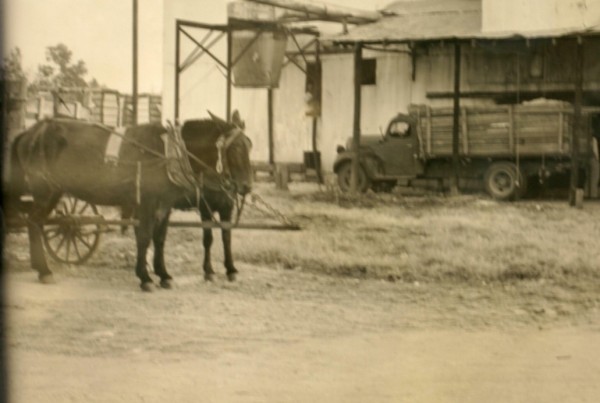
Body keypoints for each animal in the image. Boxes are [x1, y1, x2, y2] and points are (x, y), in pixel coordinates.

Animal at [8, 113, 253, 290]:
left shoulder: (165, 205)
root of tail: (30, 132)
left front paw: (163, 274)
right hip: (45, 190)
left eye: (249, 145)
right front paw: (145, 277)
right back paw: (44, 270)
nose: (246, 186)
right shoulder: (146, 202)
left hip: (54, 192)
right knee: (33, 222)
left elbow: (160, 238)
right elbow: (144, 237)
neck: (167, 153)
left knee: (38, 223)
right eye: (235, 148)